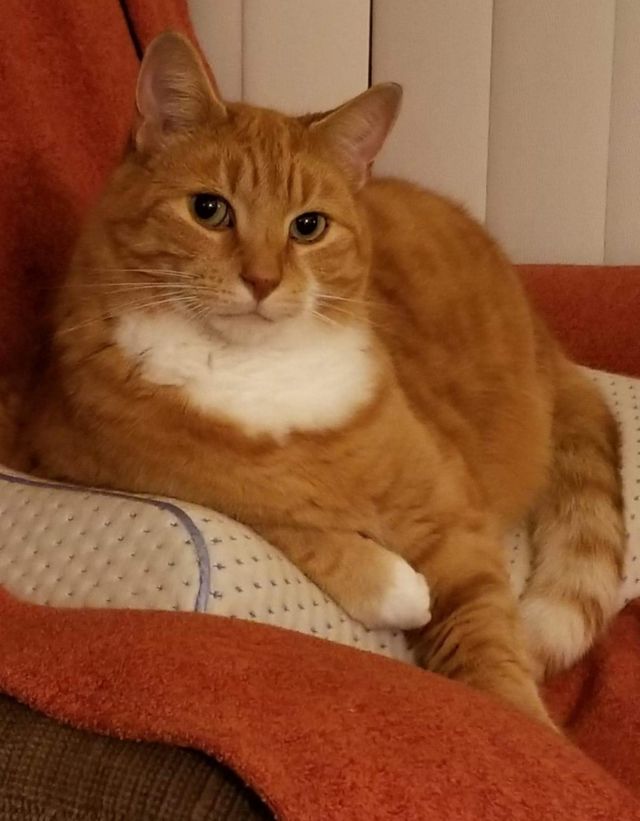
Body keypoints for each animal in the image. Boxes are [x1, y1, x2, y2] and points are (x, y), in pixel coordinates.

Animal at [20, 32, 625, 728]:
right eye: (209, 210)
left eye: (308, 226)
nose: (261, 280)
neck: (257, 372)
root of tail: (541, 330)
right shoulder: (72, 457)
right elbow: (282, 518)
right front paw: (393, 586)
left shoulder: (451, 520)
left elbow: (488, 645)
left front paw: (523, 732)